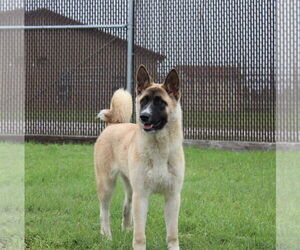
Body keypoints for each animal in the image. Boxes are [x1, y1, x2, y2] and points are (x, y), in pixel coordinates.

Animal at [94, 65, 185, 250]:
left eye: (160, 102)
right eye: (144, 101)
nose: (144, 116)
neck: (159, 149)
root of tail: (114, 124)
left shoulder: (172, 196)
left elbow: (172, 233)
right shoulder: (141, 196)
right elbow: (140, 234)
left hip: (131, 188)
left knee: (126, 206)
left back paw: (126, 228)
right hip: (107, 185)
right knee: (104, 212)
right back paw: (106, 236)